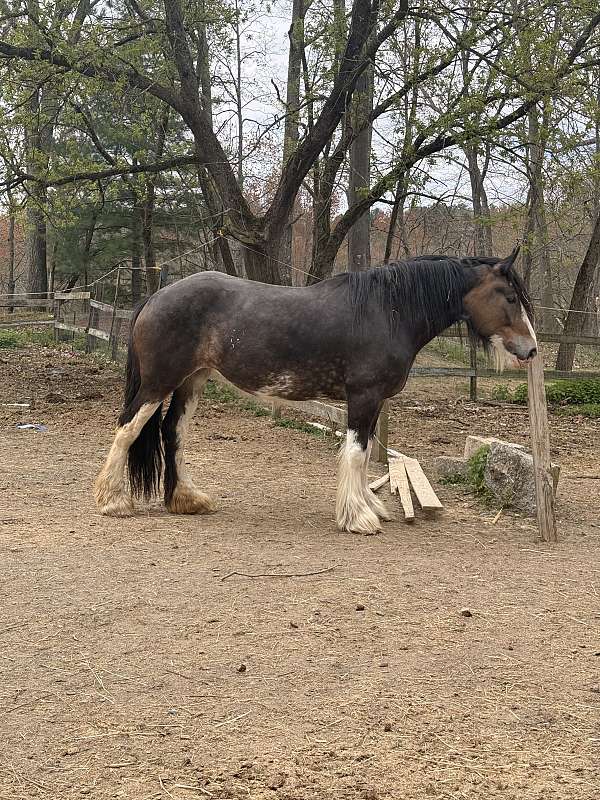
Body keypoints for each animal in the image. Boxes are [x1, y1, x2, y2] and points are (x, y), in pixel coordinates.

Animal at [94, 247, 537, 535]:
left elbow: (365, 453)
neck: (388, 311)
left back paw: (186, 499)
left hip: (192, 381)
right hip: (158, 382)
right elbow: (356, 454)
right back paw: (113, 500)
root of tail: (156, 295)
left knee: (174, 433)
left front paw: (370, 507)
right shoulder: (364, 397)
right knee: (128, 429)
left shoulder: (372, 403)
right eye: (509, 297)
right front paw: (358, 518)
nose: (531, 350)